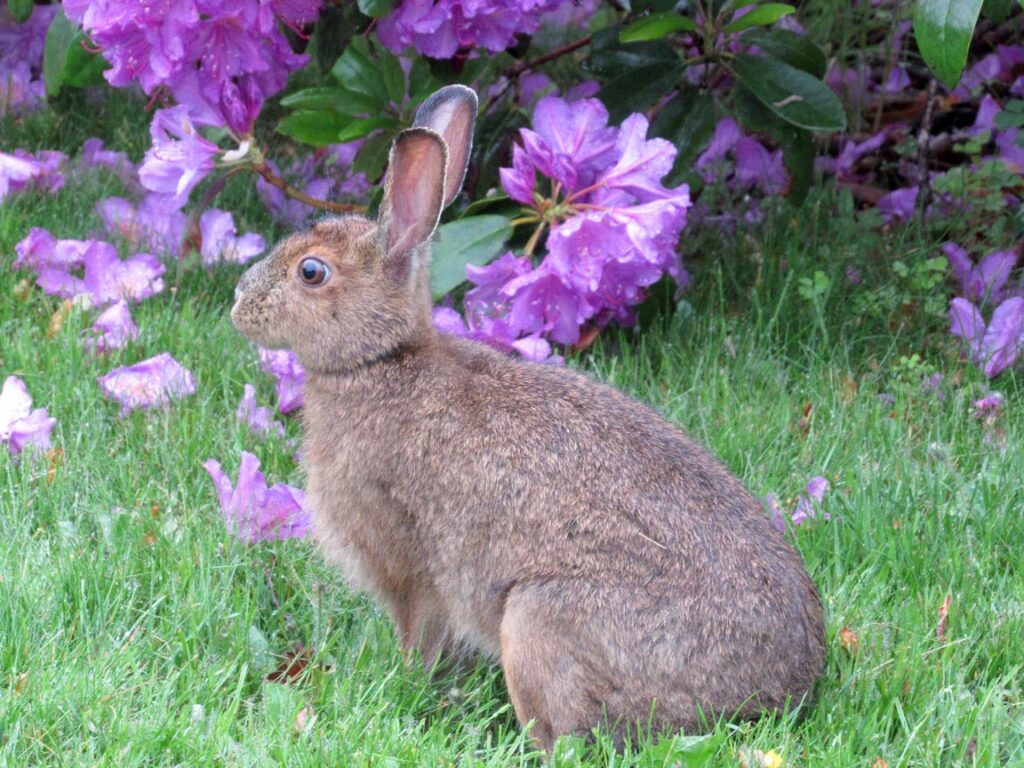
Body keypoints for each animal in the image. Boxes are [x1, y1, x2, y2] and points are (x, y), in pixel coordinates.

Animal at [232, 85, 823, 757]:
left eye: (311, 271)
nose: (239, 303)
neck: (382, 361)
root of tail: (778, 693)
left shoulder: (409, 563)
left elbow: (418, 635)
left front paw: (403, 683)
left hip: (540, 620)